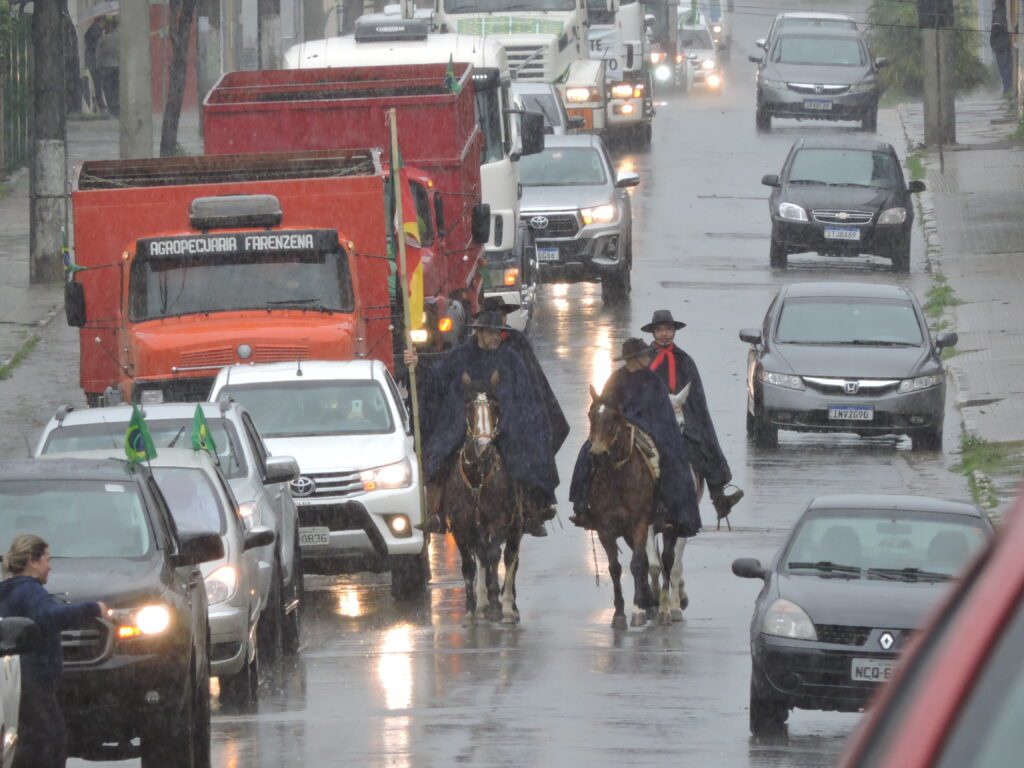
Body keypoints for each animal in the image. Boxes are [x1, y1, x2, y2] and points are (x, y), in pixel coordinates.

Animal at [440, 372, 524, 626]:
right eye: (468, 407)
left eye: (496, 407)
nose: (484, 446)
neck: (477, 476)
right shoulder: (461, 526)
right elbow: (470, 564)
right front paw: (472, 608)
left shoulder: (499, 520)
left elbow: (494, 556)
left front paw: (498, 603)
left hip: (515, 524)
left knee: (510, 558)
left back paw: (508, 606)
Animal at [585, 385, 679, 630]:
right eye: (590, 416)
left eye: (615, 417)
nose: (597, 455)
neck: (617, 479)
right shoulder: (605, 530)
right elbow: (615, 568)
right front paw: (619, 613)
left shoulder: (639, 524)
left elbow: (636, 564)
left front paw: (637, 608)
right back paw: (651, 603)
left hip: (669, 527)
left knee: (667, 560)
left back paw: (664, 608)